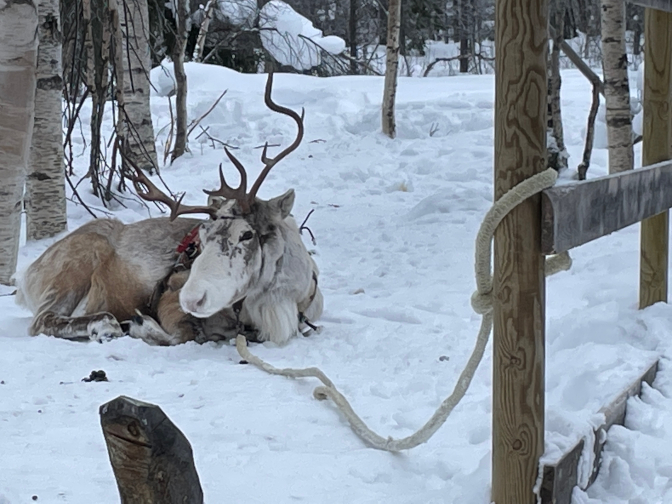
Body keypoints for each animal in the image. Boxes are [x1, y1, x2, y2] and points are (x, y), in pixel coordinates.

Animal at [15, 73, 323, 346]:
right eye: (203, 236)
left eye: (247, 234)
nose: (192, 298)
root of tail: (29, 275)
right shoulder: (170, 295)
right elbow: (181, 335)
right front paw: (138, 324)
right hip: (79, 262)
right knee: (43, 320)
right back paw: (104, 325)